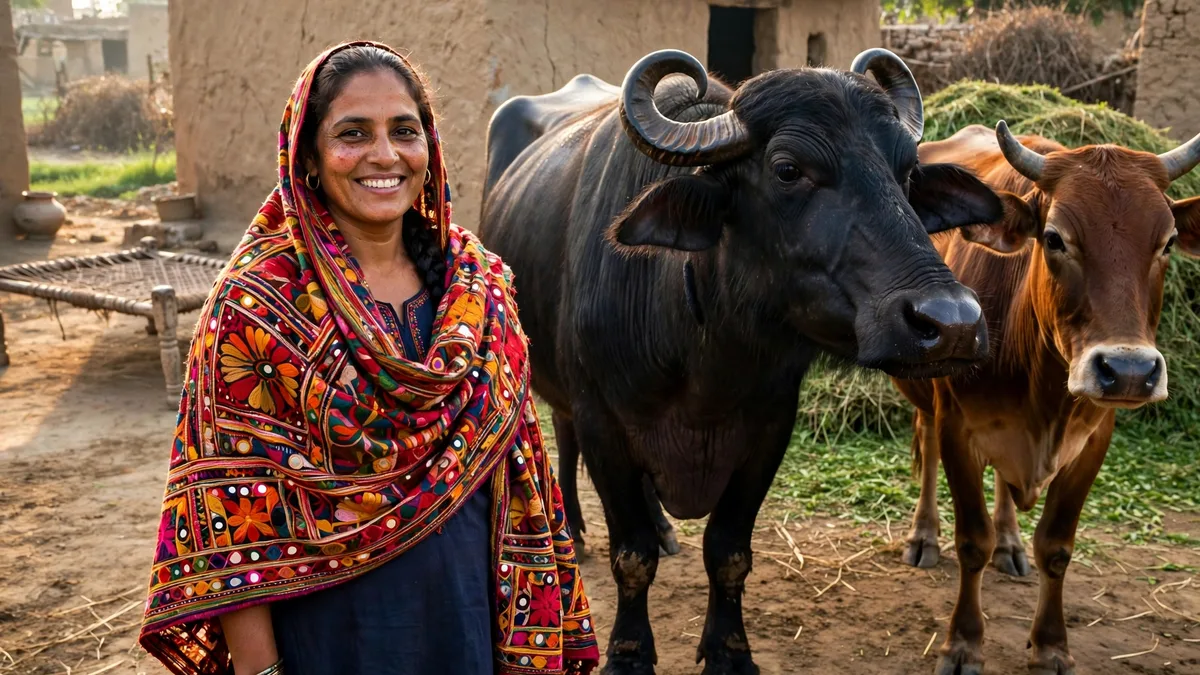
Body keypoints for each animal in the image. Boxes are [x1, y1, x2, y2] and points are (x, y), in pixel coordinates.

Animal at [479, 48, 1008, 674]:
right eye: (787, 170)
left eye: (904, 172)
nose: (952, 322)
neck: (705, 357)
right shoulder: (602, 422)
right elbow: (631, 554)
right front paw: (629, 652)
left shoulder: (769, 429)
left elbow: (728, 551)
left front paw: (729, 649)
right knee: (563, 435)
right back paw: (579, 530)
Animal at [891, 121, 1200, 674]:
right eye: (1054, 239)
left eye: (1166, 242)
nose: (1129, 371)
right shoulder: (956, 426)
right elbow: (971, 541)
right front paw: (962, 644)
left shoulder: (1095, 438)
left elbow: (1056, 546)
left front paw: (1052, 646)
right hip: (928, 396)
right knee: (925, 448)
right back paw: (923, 536)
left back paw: (1010, 544)